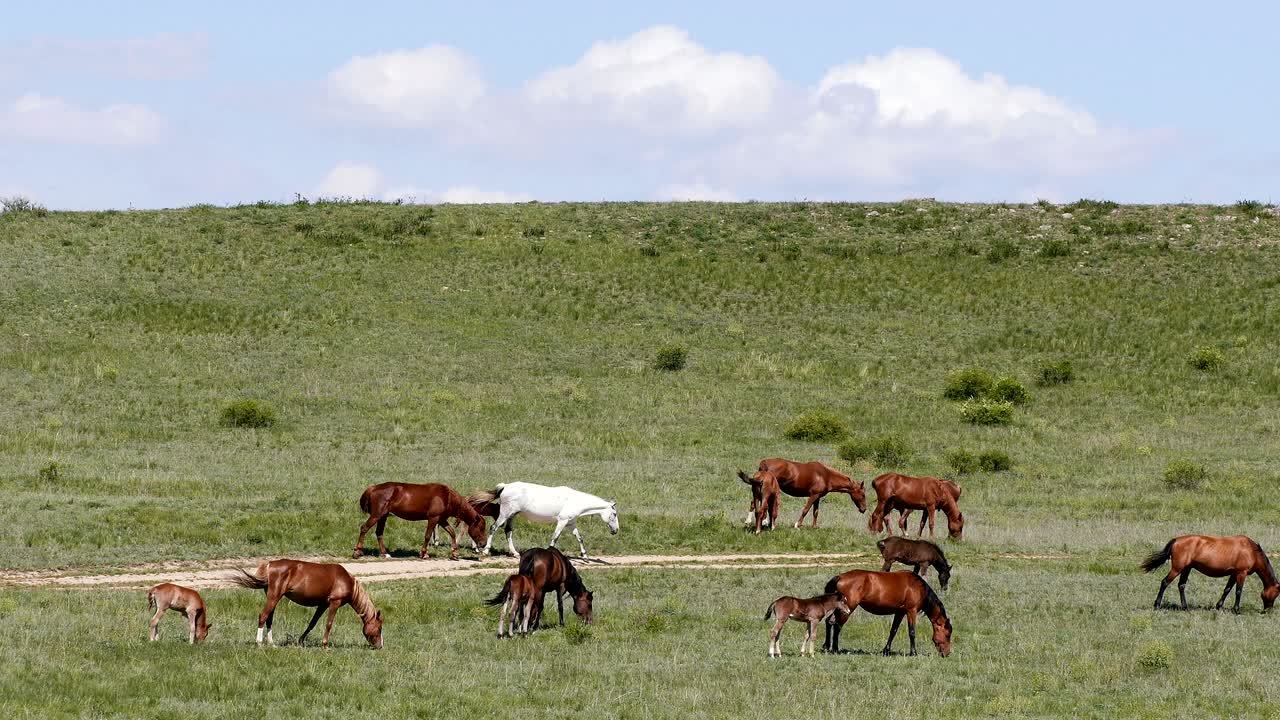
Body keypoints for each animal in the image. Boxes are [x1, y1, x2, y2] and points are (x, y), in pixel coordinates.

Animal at [231, 559, 383, 648]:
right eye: (380, 628)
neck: (347, 581)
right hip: (274, 597)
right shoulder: (335, 603)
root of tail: (270, 564)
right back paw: (259, 643)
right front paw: (325, 645)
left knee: (269, 619)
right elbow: (329, 624)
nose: (380, 646)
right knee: (263, 616)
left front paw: (300, 641)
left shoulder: (323, 605)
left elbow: (312, 623)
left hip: (273, 598)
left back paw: (271, 643)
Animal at [353, 482, 488, 560]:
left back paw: (384, 553)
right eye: (481, 528)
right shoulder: (433, 518)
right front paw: (424, 553)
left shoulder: (441, 519)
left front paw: (455, 553)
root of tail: (372, 488)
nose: (483, 544)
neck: (446, 497)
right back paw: (357, 552)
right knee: (364, 528)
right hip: (377, 515)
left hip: (383, 516)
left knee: (379, 533)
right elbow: (428, 536)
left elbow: (451, 532)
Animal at [475, 482, 619, 558]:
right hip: (505, 514)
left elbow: (579, 538)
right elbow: (554, 538)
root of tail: (506, 486)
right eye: (614, 514)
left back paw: (515, 553)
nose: (616, 530)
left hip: (512, 515)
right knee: (493, 528)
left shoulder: (570, 523)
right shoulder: (562, 521)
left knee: (508, 531)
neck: (575, 501)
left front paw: (585, 557)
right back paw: (486, 551)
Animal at [822, 569, 952, 657]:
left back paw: (826, 646)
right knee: (838, 626)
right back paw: (835, 649)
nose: (946, 654)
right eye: (947, 635)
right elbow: (912, 632)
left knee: (829, 622)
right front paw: (913, 652)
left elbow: (893, 631)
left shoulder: (900, 612)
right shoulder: (911, 611)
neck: (917, 587)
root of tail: (840, 577)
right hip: (847, 608)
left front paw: (886, 650)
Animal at [1140, 534, 1280, 613]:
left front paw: (1218, 606)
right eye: (1277, 594)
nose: (1267, 610)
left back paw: (1185, 608)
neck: (1252, 551)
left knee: (1181, 585)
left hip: (1186, 568)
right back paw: (1157, 605)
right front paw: (1236, 610)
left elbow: (1227, 589)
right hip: (1177, 568)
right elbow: (1238, 591)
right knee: (1165, 582)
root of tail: (1176, 540)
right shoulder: (1241, 573)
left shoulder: (1234, 574)